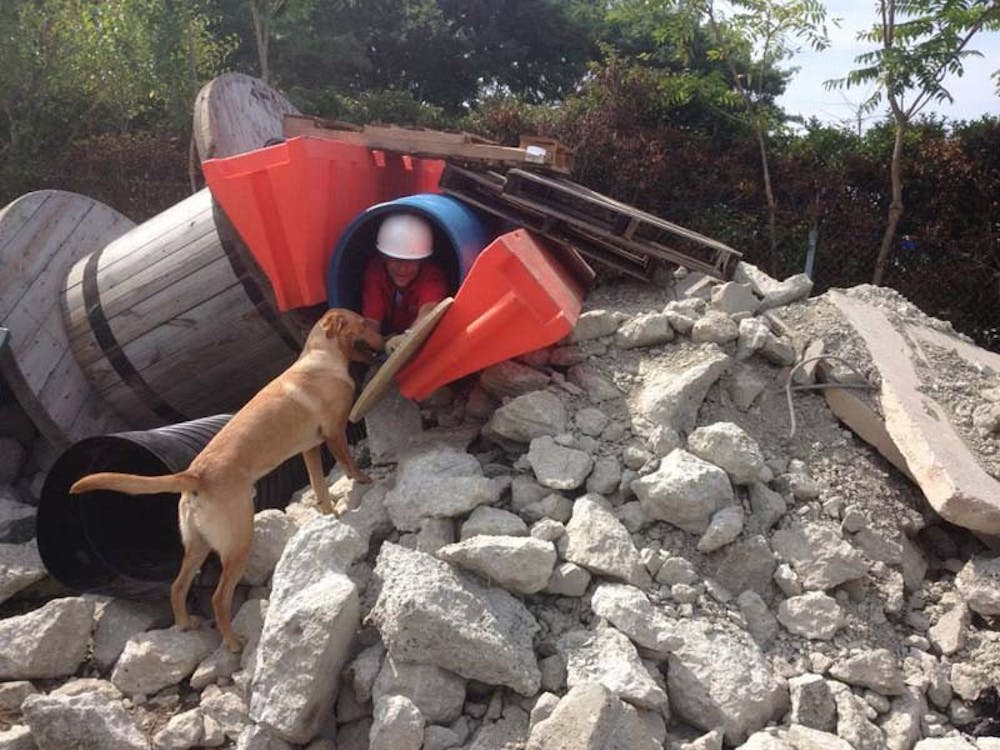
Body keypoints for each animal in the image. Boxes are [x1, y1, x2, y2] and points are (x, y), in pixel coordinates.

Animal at [70, 308, 382, 648]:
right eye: (363, 322)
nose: (383, 328)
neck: (322, 355)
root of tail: (194, 475)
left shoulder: (310, 449)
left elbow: (319, 488)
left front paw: (330, 515)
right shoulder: (335, 432)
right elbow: (349, 465)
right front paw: (364, 480)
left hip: (198, 547)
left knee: (177, 587)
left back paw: (185, 624)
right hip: (238, 542)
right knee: (219, 598)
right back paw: (233, 642)